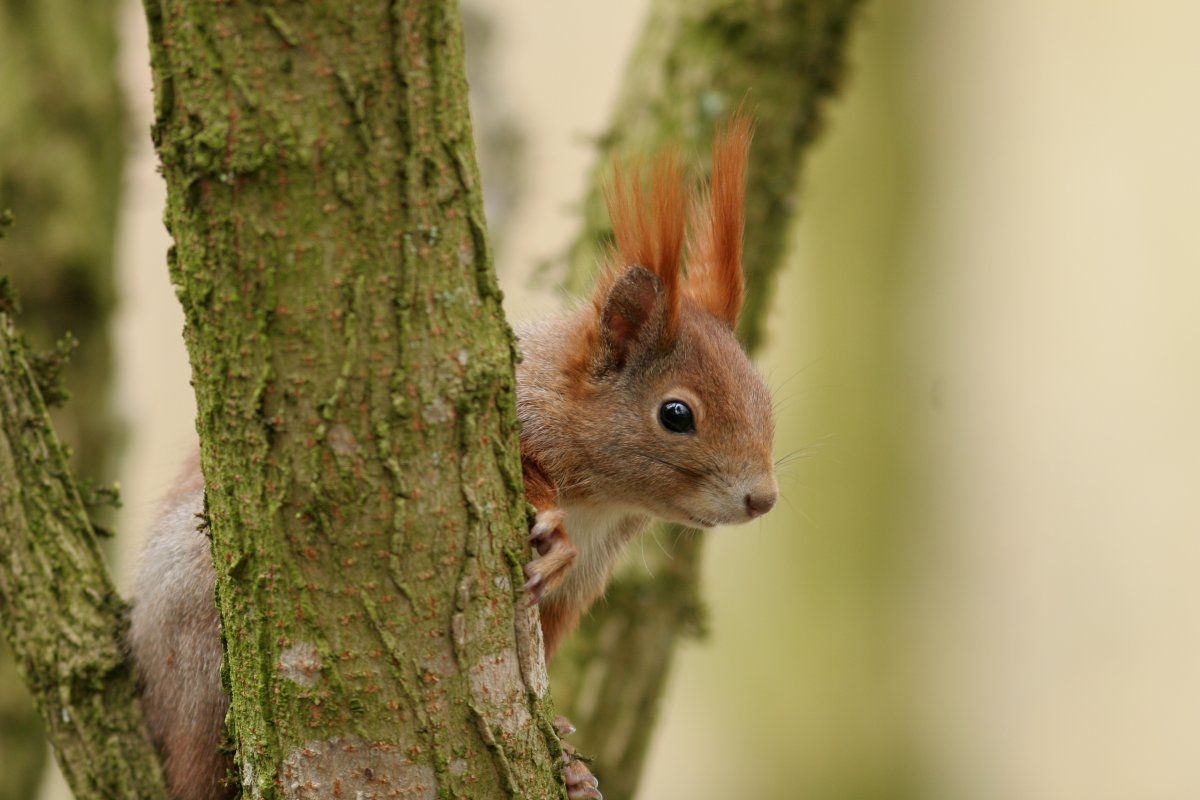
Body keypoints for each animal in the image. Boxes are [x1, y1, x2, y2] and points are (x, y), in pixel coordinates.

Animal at [124, 118, 777, 800]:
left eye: (764, 393)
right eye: (676, 414)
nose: (763, 498)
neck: (604, 501)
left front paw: (570, 761)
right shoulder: (513, 414)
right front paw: (555, 535)